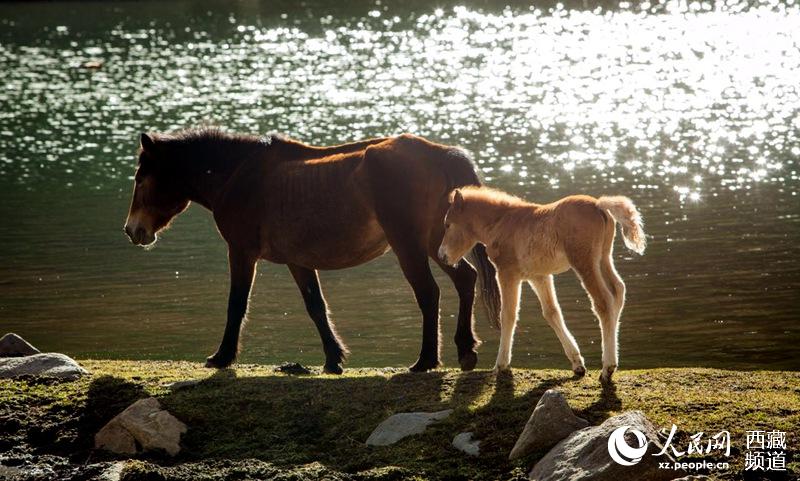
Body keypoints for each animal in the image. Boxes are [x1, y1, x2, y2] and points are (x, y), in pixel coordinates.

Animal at [123, 128, 500, 376]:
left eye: (141, 178)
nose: (132, 230)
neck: (238, 175)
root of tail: (439, 154)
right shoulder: (298, 261)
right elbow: (316, 306)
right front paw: (334, 359)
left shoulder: (241, 252)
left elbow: (237, 304)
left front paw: (222, 356)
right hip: (437, 242)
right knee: (465, 280)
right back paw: (465, 349)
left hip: (409, 245)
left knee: (429, 293)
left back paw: (425, 360)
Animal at [440, 187, 648, 382]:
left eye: (448, 224)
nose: (442, 256)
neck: (502, 223)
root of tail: (598, 204)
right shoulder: (539, 276)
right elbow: (552, 312)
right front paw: (577, 364)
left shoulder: (508, 273)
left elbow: (508, 315)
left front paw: (501, 365)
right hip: (603, 258)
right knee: (618, 291)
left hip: (584, 262)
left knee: (603, 302)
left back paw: (608, 368)